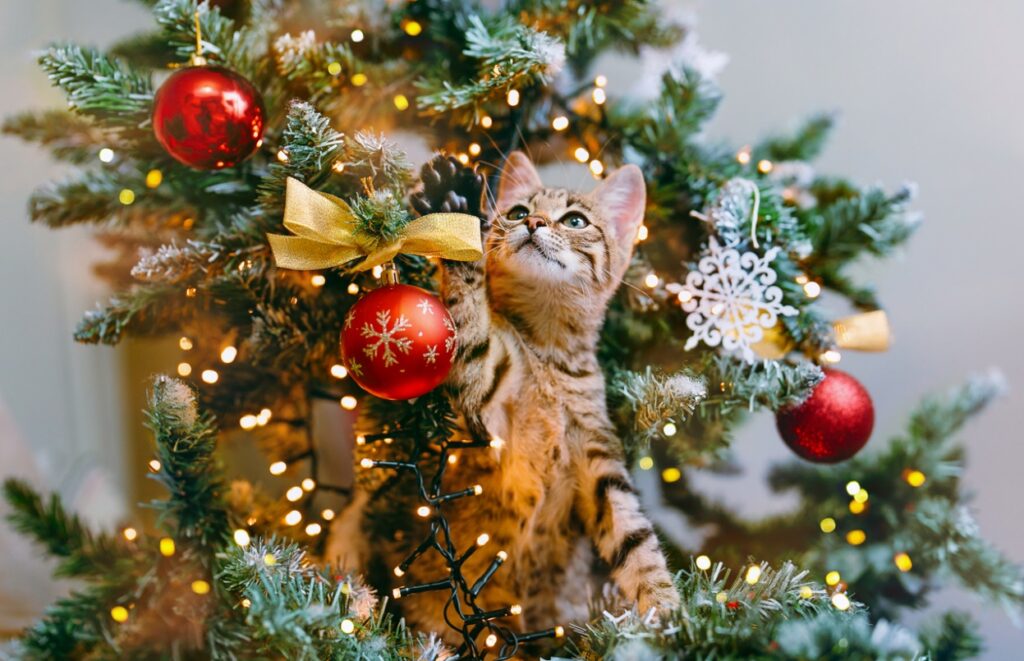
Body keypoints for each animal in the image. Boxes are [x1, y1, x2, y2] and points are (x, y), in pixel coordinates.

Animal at [329, 151, 679, 642]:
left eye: (575, 220)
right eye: (516, 212)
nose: (532, 222)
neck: (547, 354)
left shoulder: (600, 460)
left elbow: (636, 539)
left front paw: (667, 610)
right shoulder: (487, 392)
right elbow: (469, 322)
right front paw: (454, 212)